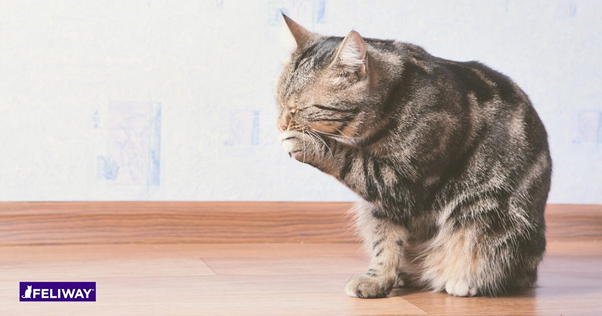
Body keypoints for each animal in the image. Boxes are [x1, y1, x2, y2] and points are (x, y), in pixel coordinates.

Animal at [274, 14, 552, 296]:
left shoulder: (402, 183)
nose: (281, 125)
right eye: (279, 102)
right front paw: (378, 280)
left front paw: (309, 145)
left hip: (487, 211)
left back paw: (465, 282)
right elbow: (385, 243)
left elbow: (348, 159)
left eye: (298, 109)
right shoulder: (383, 205)